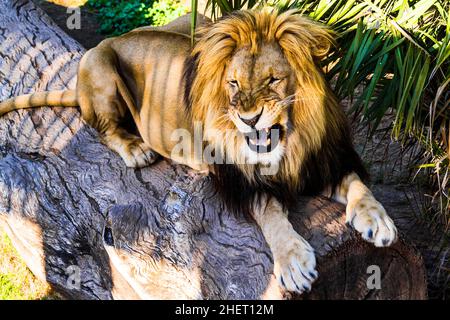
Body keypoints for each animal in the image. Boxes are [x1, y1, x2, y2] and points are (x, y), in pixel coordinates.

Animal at [0, 8, 398, 296]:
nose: (248, 119)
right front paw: (293, 260)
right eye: (233, 83)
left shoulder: (325, 161)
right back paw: (136, 149)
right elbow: (271, 214)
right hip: (98, 63)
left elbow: (358, 185)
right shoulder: (239, 181)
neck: (290, 142)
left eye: (273, 80)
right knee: (101, 127)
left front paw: (377, 219)